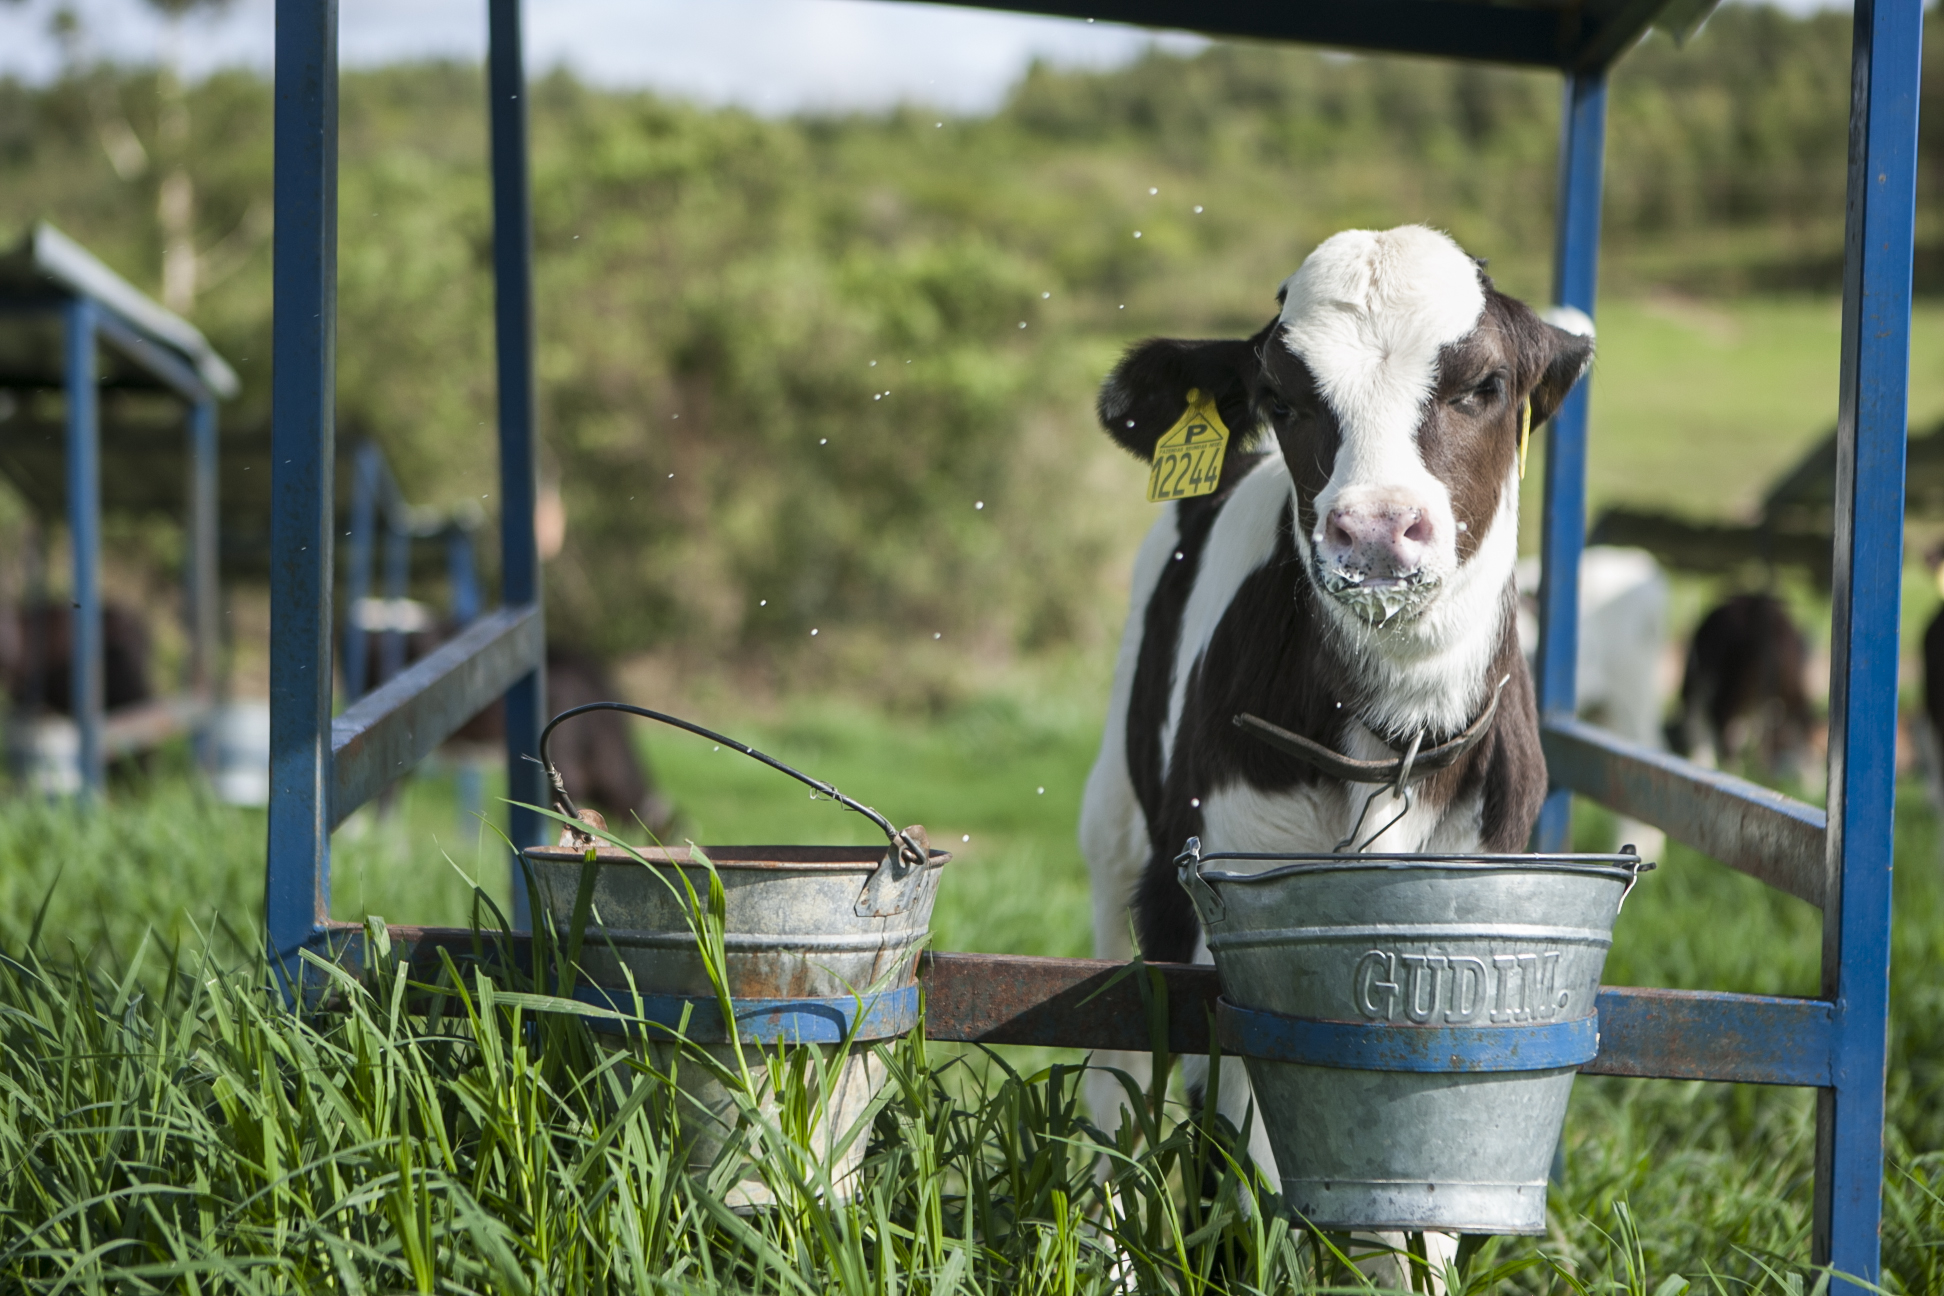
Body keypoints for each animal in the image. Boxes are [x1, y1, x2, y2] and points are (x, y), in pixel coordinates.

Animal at [1080, 223, 1594, 1204]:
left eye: (1484, 384)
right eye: (1281, 396)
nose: (1375, 531)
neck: (1397, 732)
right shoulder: (1209, 892)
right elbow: (1243, 1147)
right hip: (1117, 835)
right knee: (1110, 1067)